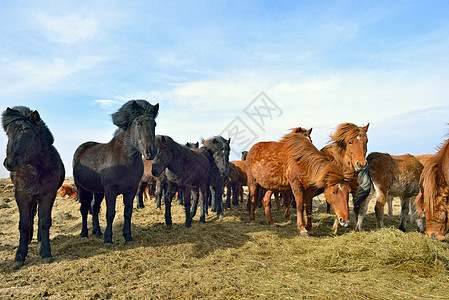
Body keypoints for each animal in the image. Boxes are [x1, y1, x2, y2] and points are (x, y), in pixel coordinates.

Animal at [1, 106, 65, 268]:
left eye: (28, 133)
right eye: (8, 133)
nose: (10, 163)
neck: (34, 170)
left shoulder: (48, 195)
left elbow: (44, 222)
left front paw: (46, 254)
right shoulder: (22, 196)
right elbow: (24, 224)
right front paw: (20, 256)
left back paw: (39, 241)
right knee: (30, 217)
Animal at [72, 100, 158, 246]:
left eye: (154, 124)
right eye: (138, 123)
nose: (150, 152)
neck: (124, 161)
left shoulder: (131, 190)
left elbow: (127, 213)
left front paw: (128, 237)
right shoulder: (110, 191)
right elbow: (110, 213)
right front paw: (108, 239)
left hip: (98, 191)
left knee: (94, 208)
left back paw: (97, 231)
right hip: (82, 189)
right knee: (84, 210)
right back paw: (84, 233)